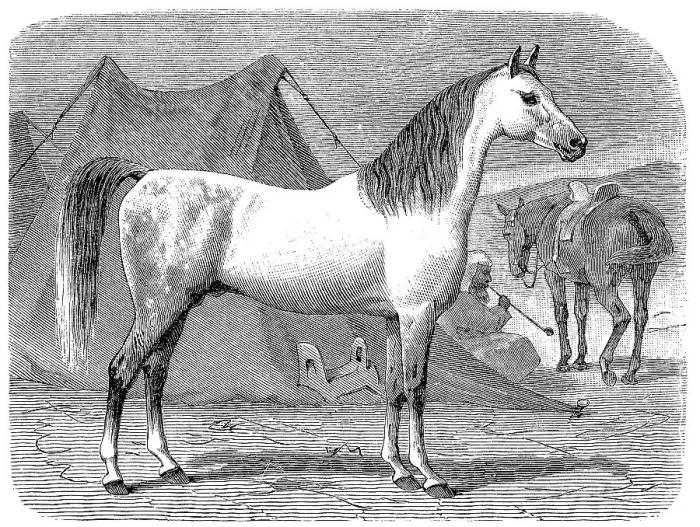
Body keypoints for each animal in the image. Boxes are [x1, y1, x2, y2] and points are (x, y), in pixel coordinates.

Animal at [56, 46, 586, 499]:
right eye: (530, 96)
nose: (577, 144)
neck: (413, 206)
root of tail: (145, 177)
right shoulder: (419, 316)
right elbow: (417, 389)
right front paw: (431, 477)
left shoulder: (393, 320)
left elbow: (393, 389)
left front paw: (399, 470)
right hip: (158, 306)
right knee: (122, 369)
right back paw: (114, 476)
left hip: (176, 307)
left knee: (155, 374)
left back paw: (170, 466)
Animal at [496, 188, 672, 387]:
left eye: (507, 234)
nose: (516, 270)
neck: (547, 216)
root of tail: (636, 212)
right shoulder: (581, 282)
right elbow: (581, 313)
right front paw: (580, 360)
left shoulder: (553, 275)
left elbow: (561, 313)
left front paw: (564, 360)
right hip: (642, 278)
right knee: (640, 317)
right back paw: (630, 372)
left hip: (603, 286)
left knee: (622, 316)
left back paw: (605, 366)